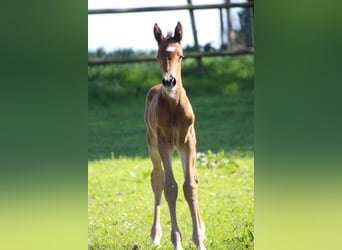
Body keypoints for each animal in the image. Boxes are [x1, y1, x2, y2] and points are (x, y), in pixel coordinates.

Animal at [144, 22, 206, 250]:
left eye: (181, 56)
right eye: (158, 55)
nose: (169, 81)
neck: (173, 107)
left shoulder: (187, 142)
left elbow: (190, 186)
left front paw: (199, 241)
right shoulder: (163, 143)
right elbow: (170, 187)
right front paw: (177, 242)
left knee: (194, 177)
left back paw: (202, 227)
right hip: (153, 146)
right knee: (157, 178)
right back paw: (155, 235)